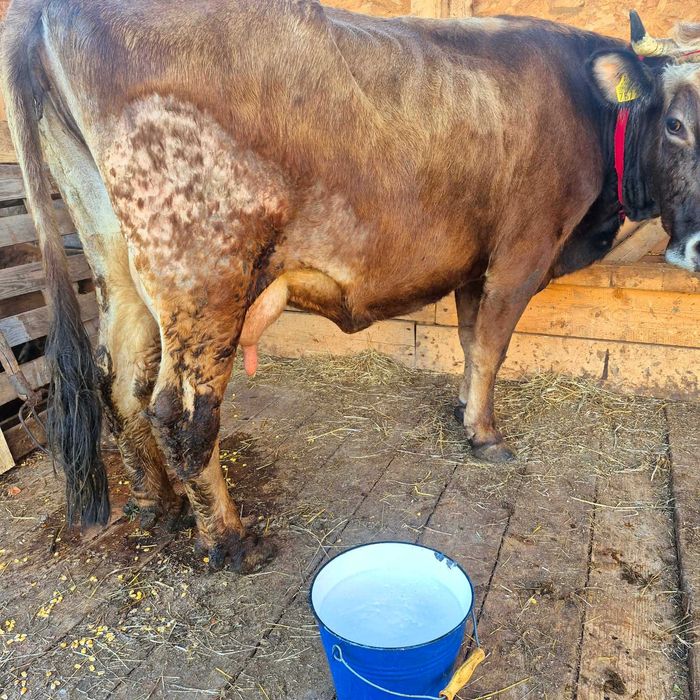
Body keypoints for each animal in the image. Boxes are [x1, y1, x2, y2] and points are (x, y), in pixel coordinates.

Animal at [1, 0, 698, 570]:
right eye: (676, 124)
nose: (693, 246)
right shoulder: (520, 253)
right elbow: (493, 347)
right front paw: (485, 435)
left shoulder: (474, 262)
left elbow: (470, 341)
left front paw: (462, 410)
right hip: (203, 274)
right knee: (181, 413)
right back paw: (229, 541)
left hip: (118, 262)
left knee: (120, 383)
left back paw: (158, 506)